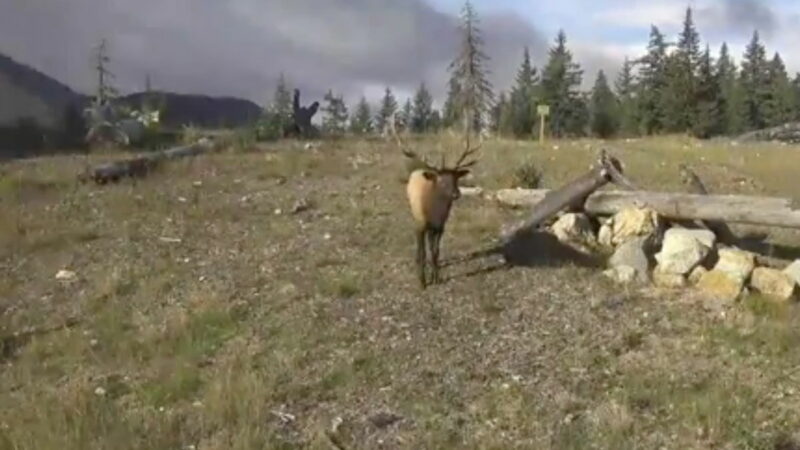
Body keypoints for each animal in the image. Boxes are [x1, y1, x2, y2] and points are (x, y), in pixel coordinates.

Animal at [392, 116, 482, 288]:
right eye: (440, 180)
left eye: (456, 178)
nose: (456, 194)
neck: (433, 212)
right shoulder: (419, 225)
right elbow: (422, 252)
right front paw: (422, 281)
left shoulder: (441, 226)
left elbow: (435, 251)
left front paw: (437, 277)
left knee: (430, 243)